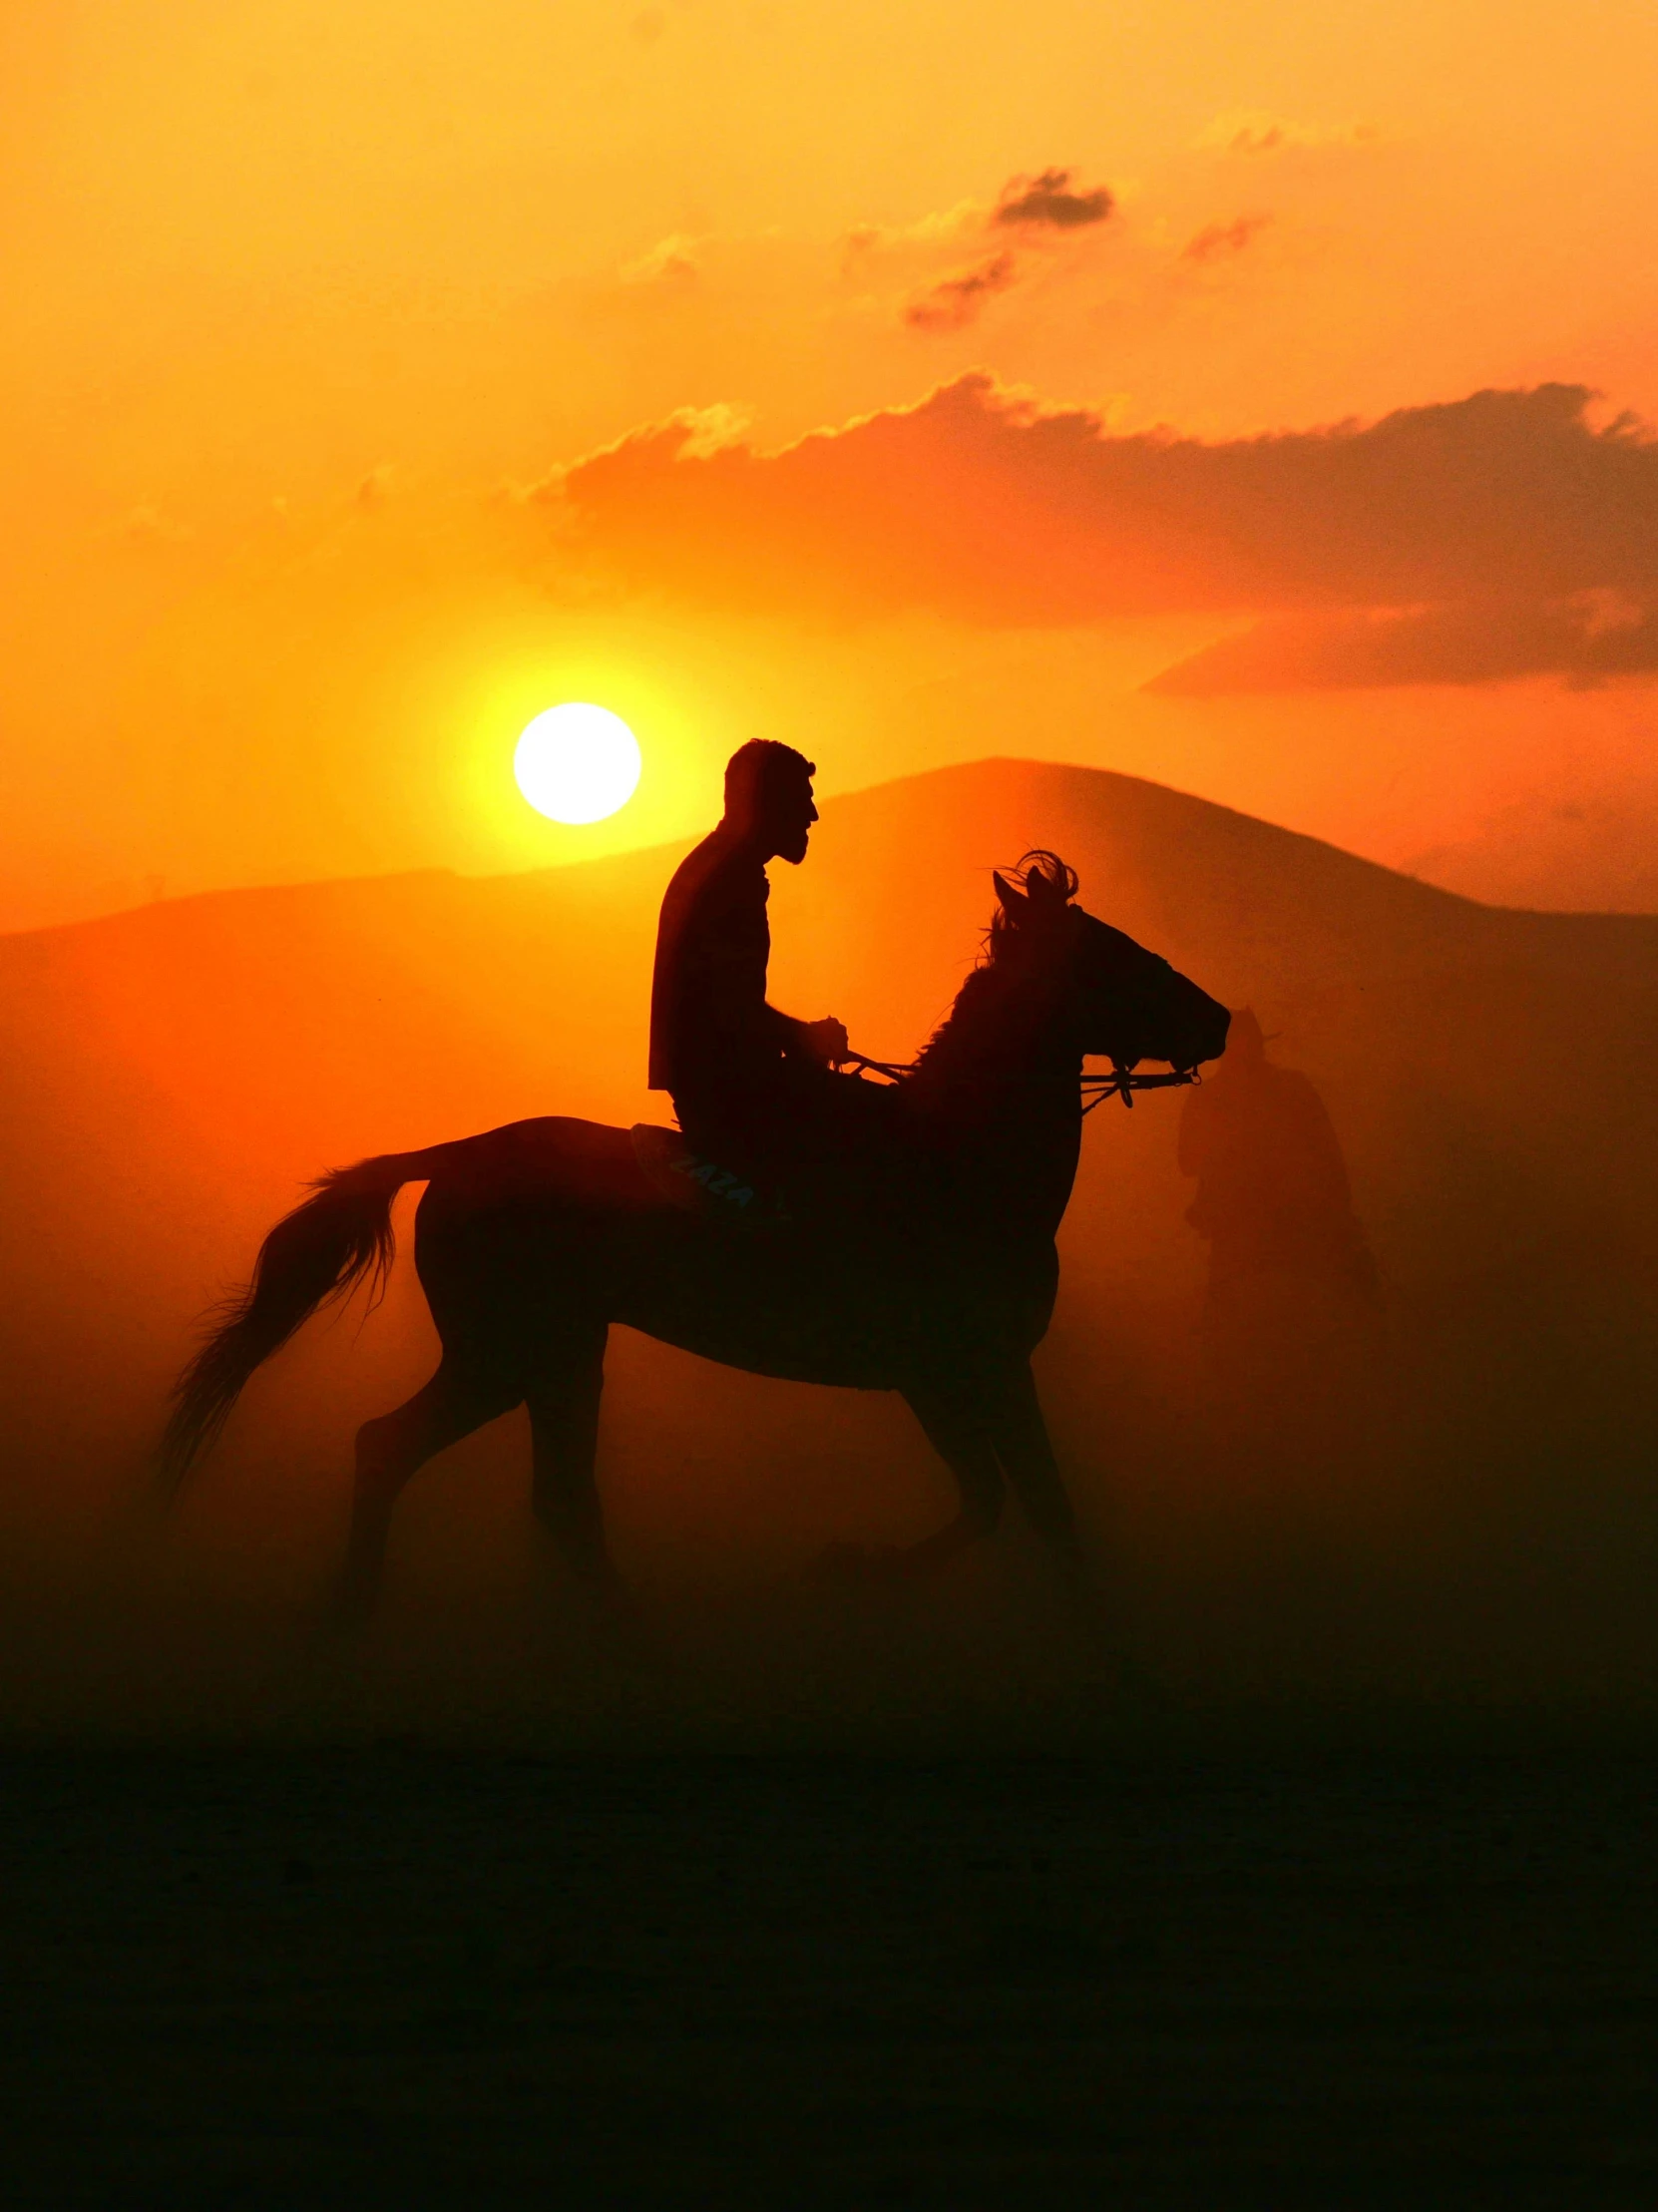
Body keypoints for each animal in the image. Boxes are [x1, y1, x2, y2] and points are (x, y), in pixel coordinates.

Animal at [162, 853, 1229, 1618]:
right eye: (1112, 953)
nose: (1217, 1019)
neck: (955, 1156)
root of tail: (459, 1154)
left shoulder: (961, 1374)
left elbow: (1012, 1505)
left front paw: (859, 1569)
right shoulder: (961, 1369)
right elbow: (1031, 1510)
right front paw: (858, 1569)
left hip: (561, 1352)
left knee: (559, 1499)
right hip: (504, 1352)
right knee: (392, 1448)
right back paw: (351, 1615)